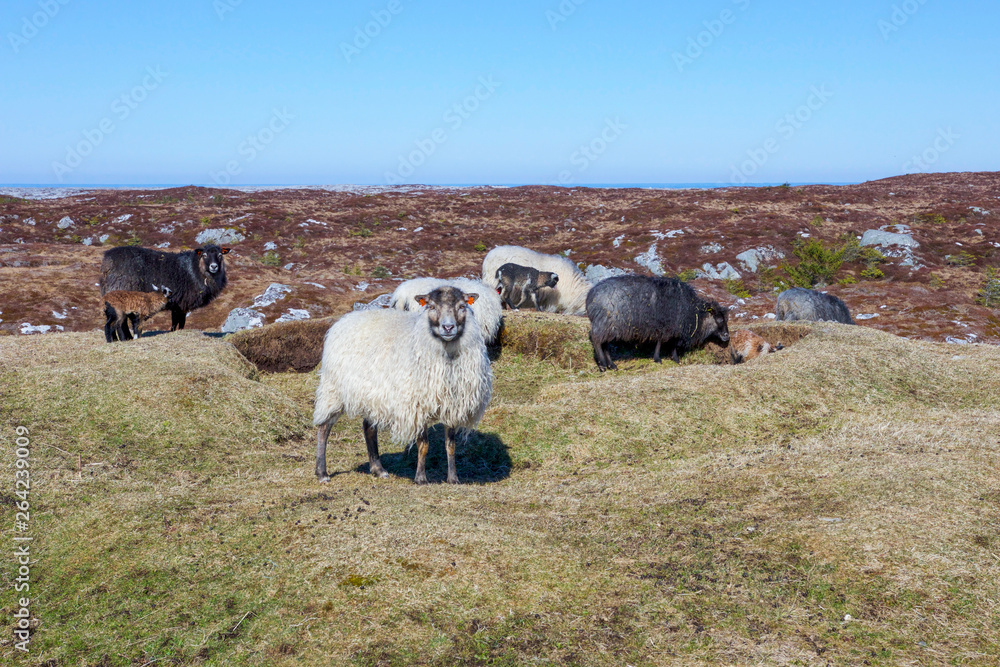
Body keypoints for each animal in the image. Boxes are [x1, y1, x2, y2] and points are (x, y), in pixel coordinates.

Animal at [312, 286, 492, 486]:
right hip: (333, 389)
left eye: (462, 306)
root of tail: (342, 321)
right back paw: (322, 473)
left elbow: (450, 445)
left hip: (373, 394)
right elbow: (423, 445)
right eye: (431, 306)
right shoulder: (418, 405)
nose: (448, 327)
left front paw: (453, 478)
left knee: (369, 427)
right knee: (324, 428)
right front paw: (420, 478)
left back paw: (378, 469)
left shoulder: (452, 405)